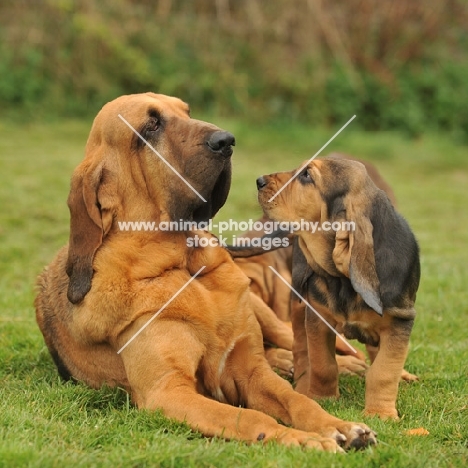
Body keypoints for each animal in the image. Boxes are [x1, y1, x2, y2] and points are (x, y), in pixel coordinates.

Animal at [33, 94, 376, 450]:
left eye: (187, 112)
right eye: (151, 125)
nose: (226, 141)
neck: (188, 265)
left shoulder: (252, 371)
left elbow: (299, 400)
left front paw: (337, 425)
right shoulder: (170, 391)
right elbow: (251, 418)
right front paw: (305, 440)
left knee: (298, 339)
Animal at [256, 155, 420, 418]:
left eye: (307, 175)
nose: (259, 181)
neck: (343, 280)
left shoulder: (400, 322)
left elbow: (384, 371)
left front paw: (380, 413)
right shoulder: (317, 317)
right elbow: (322, 363)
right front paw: (323, 398)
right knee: (300, 348)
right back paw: (303, 385)